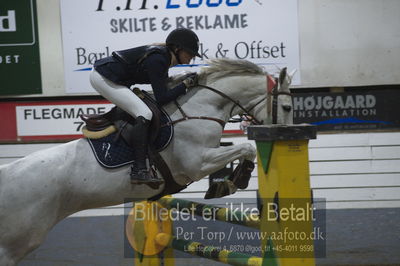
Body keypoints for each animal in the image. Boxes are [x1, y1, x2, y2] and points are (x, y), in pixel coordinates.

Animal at [0, 58, 294, 264]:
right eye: (288, 107)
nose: (287, 132)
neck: (199, 109)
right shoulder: (196, 163)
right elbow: (246, 148)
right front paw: (231, 182)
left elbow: (245, 149)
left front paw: (229, 182)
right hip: (17, 241)